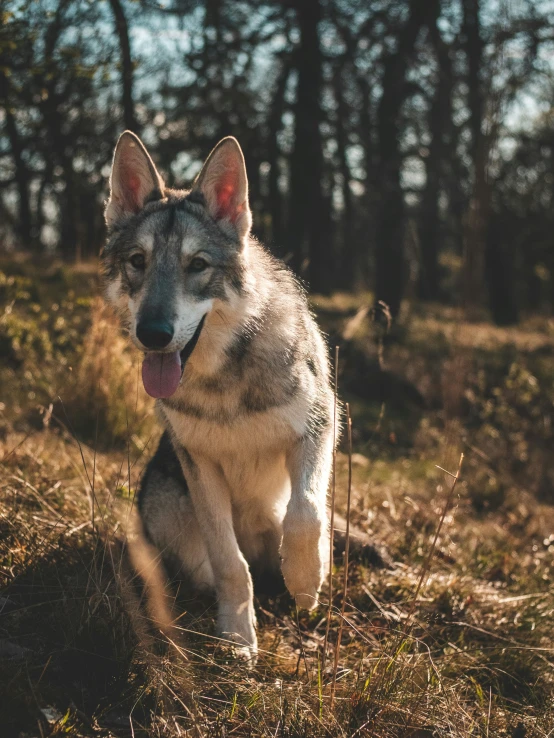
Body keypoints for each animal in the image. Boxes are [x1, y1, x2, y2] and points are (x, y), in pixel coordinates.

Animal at [100, 132, 332, 660]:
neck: (224, 377)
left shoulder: (320, 422)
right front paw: (238, 639)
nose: (153, 333)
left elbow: (306, 515)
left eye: (198, 265)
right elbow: (231, 564)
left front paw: (306, 581)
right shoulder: (199, 464)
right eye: (138, 262)